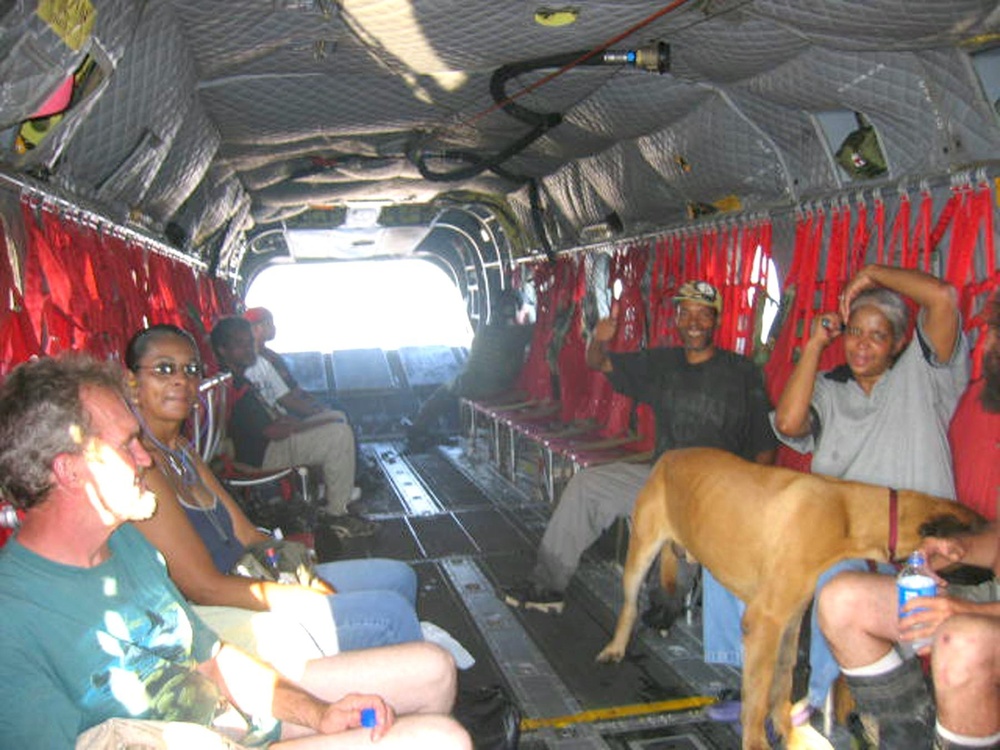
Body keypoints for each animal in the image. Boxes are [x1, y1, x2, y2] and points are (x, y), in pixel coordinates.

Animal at [596, 450, 980, 748]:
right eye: (978, 539)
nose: (991, 572)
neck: (849, 515)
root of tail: (669, 455)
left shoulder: (790, 619)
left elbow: (781, 680)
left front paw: (785, 729)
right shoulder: (765, 621)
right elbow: (758, 692)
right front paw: (755, 740)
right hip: (641, 552)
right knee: (629, 605)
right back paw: (616, 646)